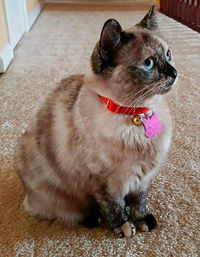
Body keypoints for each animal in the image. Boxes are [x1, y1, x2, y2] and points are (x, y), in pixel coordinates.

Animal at [16, 5, 178, 236]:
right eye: (149, 64)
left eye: (168, 54)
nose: (174, 73)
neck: (136, 115)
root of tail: (26, 195)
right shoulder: (103, 183)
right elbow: (114, 206)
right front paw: (124, 227)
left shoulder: (141, 179)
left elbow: (139, 202)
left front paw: (143, 221)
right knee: (69, 212)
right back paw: (93, 219)